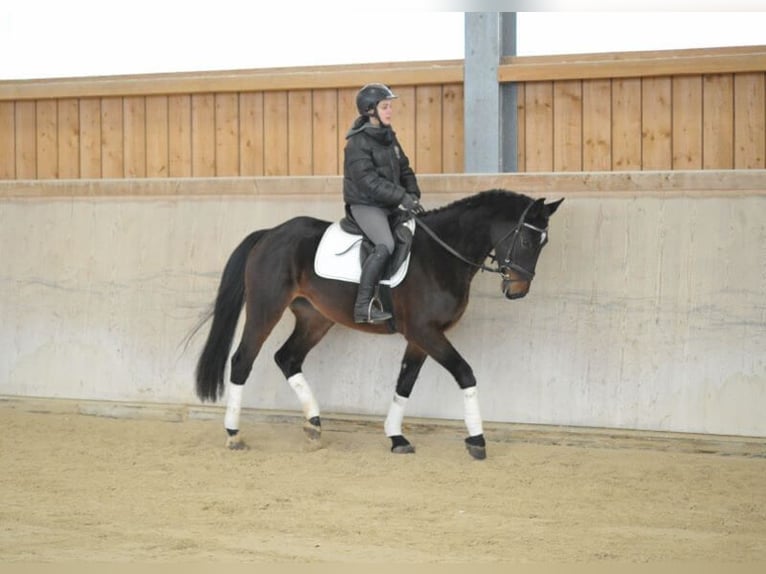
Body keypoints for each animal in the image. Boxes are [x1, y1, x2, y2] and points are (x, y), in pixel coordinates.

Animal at [194, 191, 564, 462]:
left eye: (544, 244)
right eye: (527, 241)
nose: (518, 291)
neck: (441, 256)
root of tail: (269, 234)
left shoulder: (421, 337)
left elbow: (405, 382)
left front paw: (396, 437)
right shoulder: (425, 332)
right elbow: (465, 373)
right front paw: (477, 440)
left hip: (316, 318)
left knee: (287, 358)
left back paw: (314, 426)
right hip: (265, 308)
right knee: (243, 360)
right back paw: (234, 434)